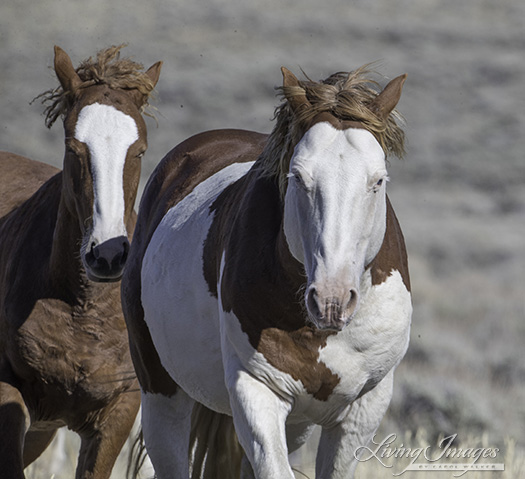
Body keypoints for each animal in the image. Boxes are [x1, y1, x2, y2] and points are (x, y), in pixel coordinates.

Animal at [0, 46, 162, 479]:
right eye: (74, 148)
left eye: (139, 150)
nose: (106, 255)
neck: (82, 308)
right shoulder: (9, 395)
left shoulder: (118, 412)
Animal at [123, 65, 410, 478]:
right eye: (298, 178)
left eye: (378, 180)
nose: (331, 300)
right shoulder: (257, 390)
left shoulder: (364, 406)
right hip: (162, 392)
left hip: (296, 423)